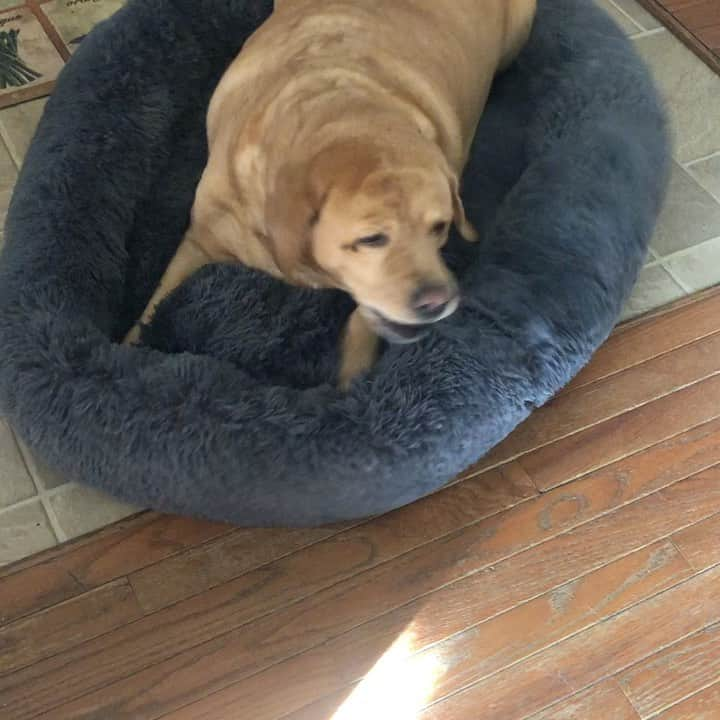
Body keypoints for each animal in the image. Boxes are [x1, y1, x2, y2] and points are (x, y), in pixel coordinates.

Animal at [126, 0, 536, 388]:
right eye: (371, 239)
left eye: (440, 227)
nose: (438, 300)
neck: (333, 115)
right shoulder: (199, 241)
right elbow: (154, 302)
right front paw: (129, 347)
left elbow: (362, 322)